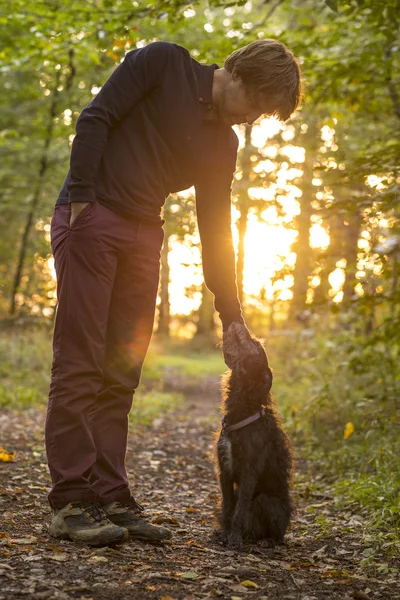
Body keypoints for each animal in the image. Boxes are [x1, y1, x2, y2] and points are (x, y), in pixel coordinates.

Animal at [216, 326, 294, 552]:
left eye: (255, 345)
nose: (238, 325)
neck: (242, 411)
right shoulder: (224, 470)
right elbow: (229, 508)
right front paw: (226, 534)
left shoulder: (249, 472)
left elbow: (240, 510)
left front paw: (234, 538)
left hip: (267, 501)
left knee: (278, 535)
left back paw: (267, 540)